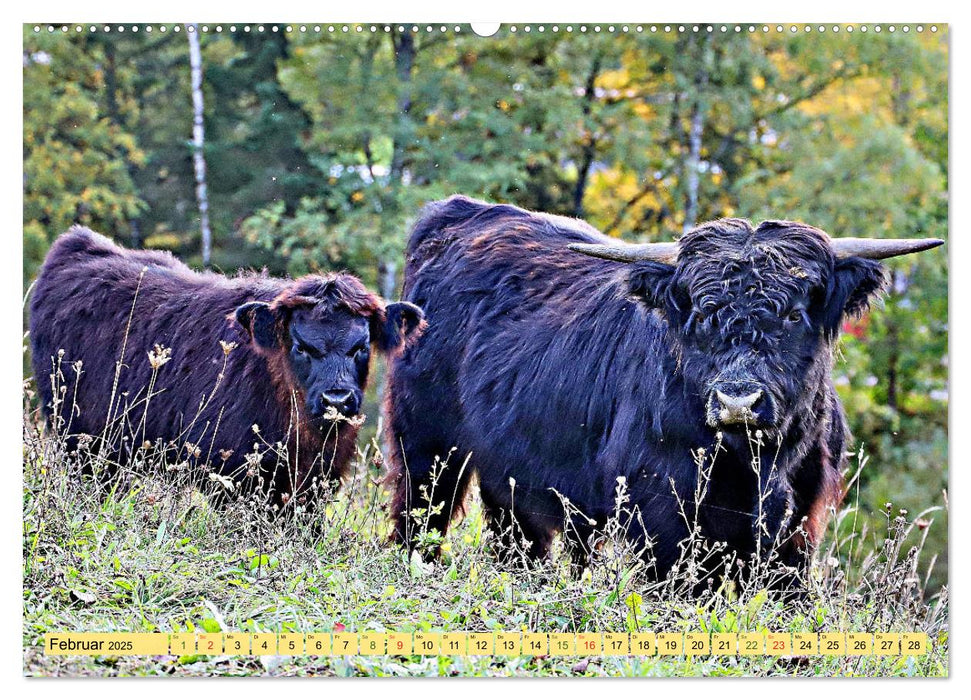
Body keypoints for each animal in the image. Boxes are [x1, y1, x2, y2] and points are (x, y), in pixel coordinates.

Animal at [388, 194, 940, 584]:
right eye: (700, 312)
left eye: (793, 313)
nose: (738, 400)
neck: (755, 462)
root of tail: (461, 214)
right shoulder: (661, 513)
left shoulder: (800, 520)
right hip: (427, 442)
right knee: (421, 511)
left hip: (508, 466)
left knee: (516, 534)